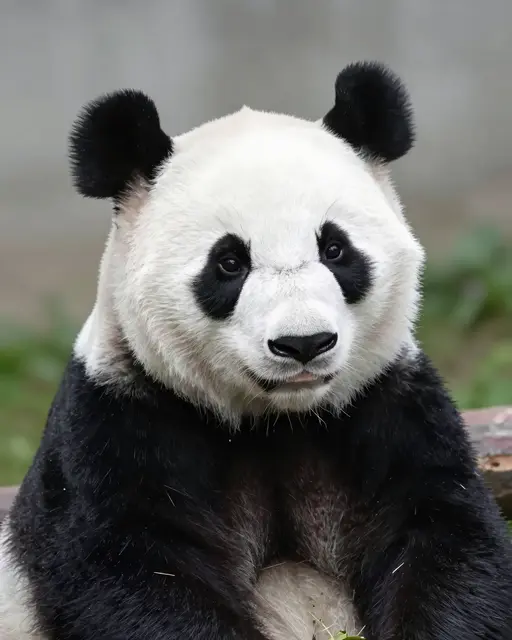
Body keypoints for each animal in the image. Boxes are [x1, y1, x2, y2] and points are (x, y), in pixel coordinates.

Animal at [1, 61, 511, 640]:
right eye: (229, 263)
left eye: (335, 249)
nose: (303, 344)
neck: (276, 421)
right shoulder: (118, 426)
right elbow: (133, 577)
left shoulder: (389, 407)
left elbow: (447, 546)